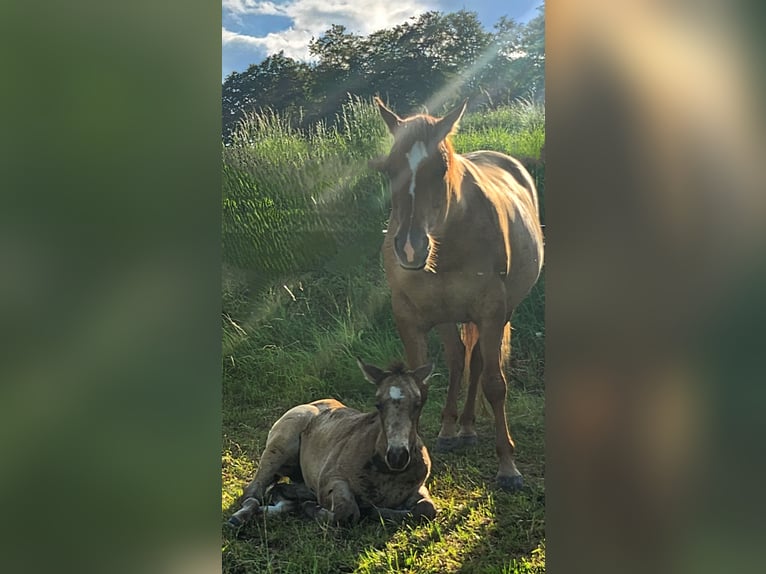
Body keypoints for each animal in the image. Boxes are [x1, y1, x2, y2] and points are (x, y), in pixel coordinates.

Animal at [228, 362, 438, 528]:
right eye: (378, 404)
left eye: (418, 404)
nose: (397, 456)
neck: (387, 472)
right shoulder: (330, 479)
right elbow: (346, 512)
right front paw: (314, 508)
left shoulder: (417, 488)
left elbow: (427, 509)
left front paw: (375, 511)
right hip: (281, 445)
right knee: (252, 492)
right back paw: (240, 517)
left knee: (278, 491)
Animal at [372, 97, 544, 492]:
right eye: (390, 169)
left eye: (440, 169)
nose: (409, 248)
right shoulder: (409, 318)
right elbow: (418, 385)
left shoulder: (492, 312)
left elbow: (495, 385)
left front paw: (508, 468)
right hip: (449, 317)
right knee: (457, 360)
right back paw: (453, 430)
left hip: (498, 313)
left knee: (477, 363)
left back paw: (466, 429)